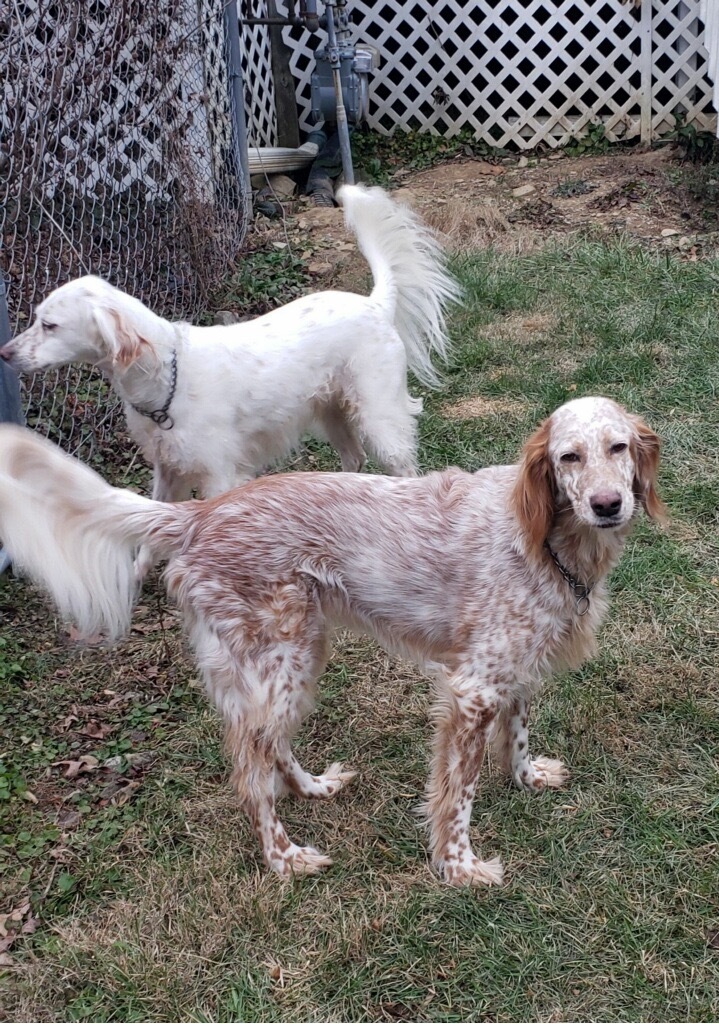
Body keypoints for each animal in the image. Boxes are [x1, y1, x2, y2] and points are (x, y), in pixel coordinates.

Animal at [0, 189, 458, 507]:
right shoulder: (168, 471)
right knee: (355, 461)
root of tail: (375, 303)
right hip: (333, 414)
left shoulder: (219, 474)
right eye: (35, 318)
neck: (167, 378)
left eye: (49, 325)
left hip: (378, 418)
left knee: (402, 467)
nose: (4, 354)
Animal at [0, 399, 663, 888]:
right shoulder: (472, 690)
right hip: (284, 661)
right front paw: (459, 867)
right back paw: (284, 858)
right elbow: (458, 794)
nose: (608, 504)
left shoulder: (514, 669)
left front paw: (526, 778)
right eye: (568, 457)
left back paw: (314, 788)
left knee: (270, 749)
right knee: (250, 774)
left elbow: (517, 735)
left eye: (618, 448)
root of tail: (199, 514)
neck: (545, 538)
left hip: (293, 659)